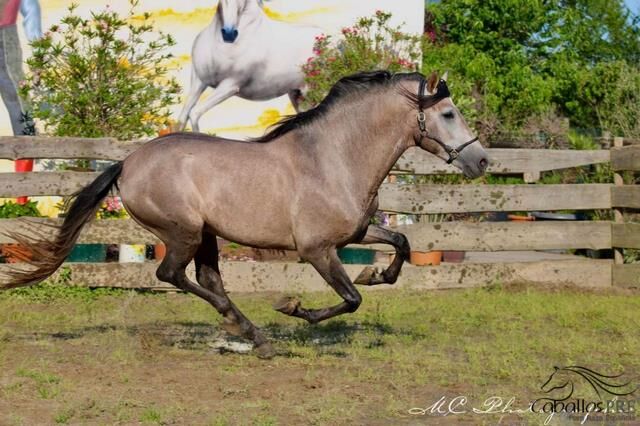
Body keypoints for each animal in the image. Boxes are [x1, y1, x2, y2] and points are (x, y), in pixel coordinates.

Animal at [2, 71, 488, 358]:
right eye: (448, 113)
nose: (481, 161)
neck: (333, 158)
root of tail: (126, 164)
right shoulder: (316, 249)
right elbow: (351, 299)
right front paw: (294, 308)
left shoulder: (355, 234)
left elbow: (401, 245)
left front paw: (376, 274)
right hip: (183, 232)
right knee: (172, 276)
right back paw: (249, 331)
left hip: (207, 235)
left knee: (206, 279)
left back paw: (250, 333)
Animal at [176, 0, 320, 131]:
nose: (229, 34)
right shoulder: (198, 81)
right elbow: (182, 118)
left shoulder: (229, 86)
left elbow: (194, 114)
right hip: (296, 95)